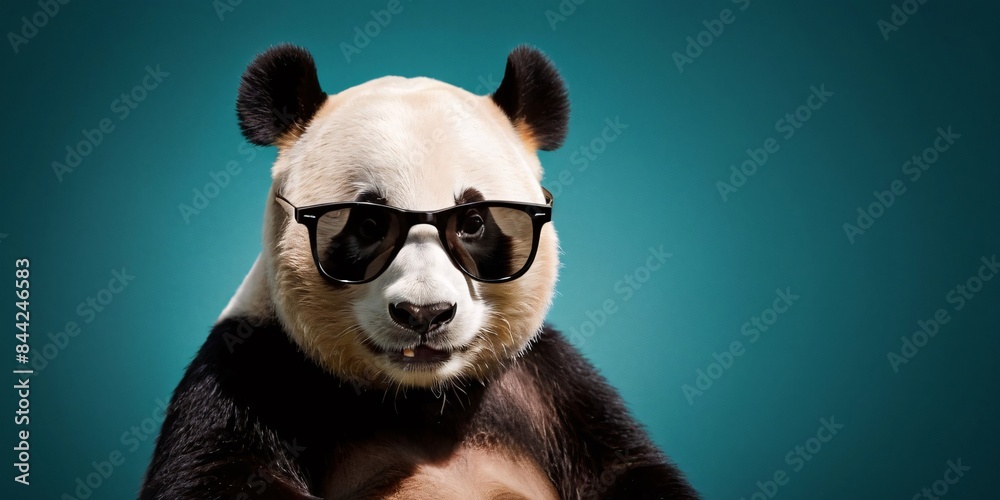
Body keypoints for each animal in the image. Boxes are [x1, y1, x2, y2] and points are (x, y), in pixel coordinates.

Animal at [140, 44, 699, 500]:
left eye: (473, 222)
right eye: (368, 224)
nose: (424, 314)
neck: (421, 397)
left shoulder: (552, 389)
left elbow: (625, 468)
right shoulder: (249, 371)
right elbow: (214, 473)